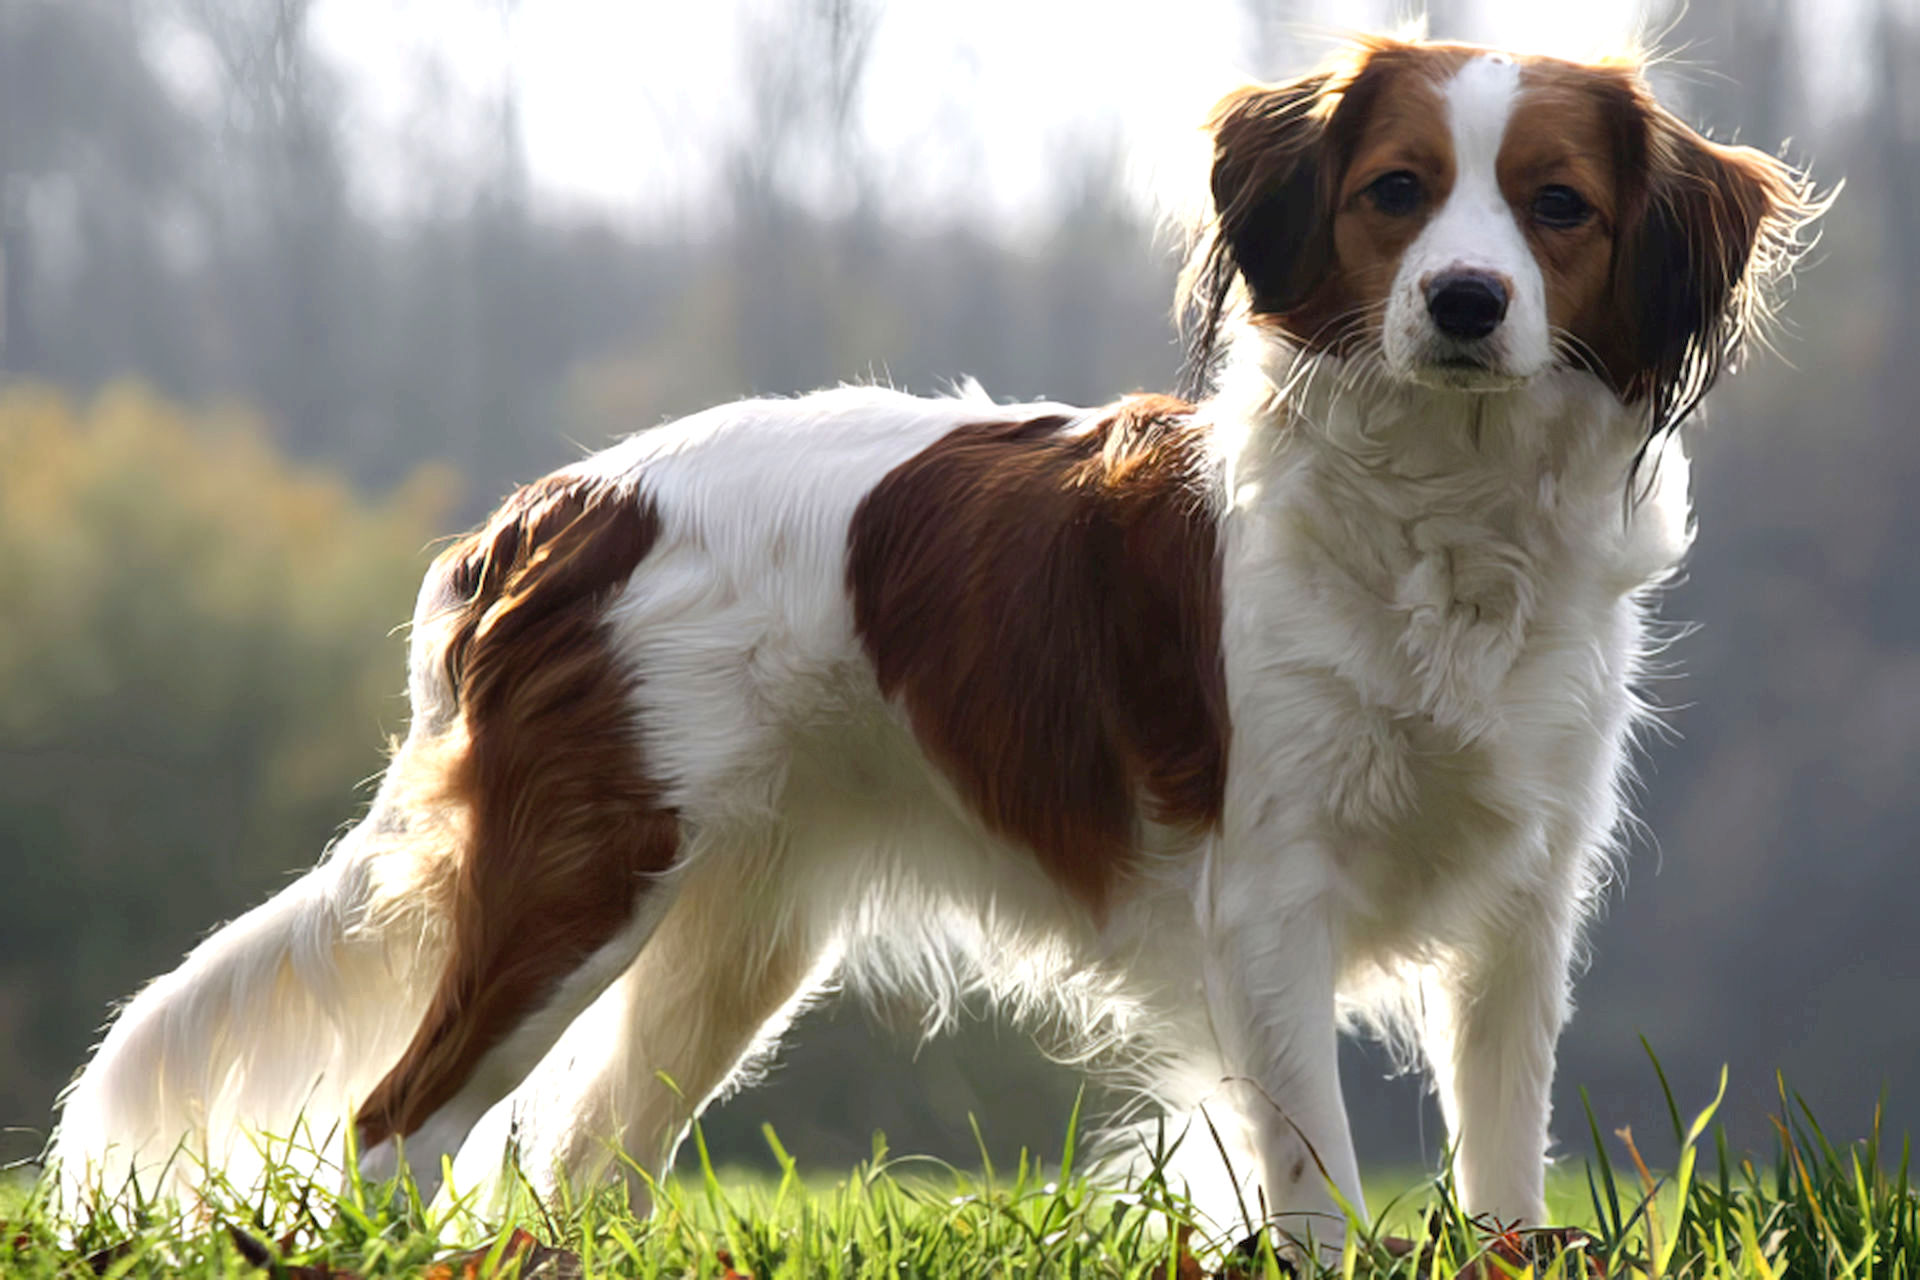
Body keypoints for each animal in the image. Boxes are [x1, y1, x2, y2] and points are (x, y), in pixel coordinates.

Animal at [45, 32, 1812, 1251]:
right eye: (1399, 195)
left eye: (1556, 209)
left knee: (589, 1161)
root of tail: (554, 508)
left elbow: (1504, 1180)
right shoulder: (1270, 904)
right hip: (580, 880)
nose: (1462, 302)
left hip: (731, 942)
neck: (1442, 512)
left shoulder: (1520, 918)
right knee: (395, 1131)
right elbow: (1311, 1190)